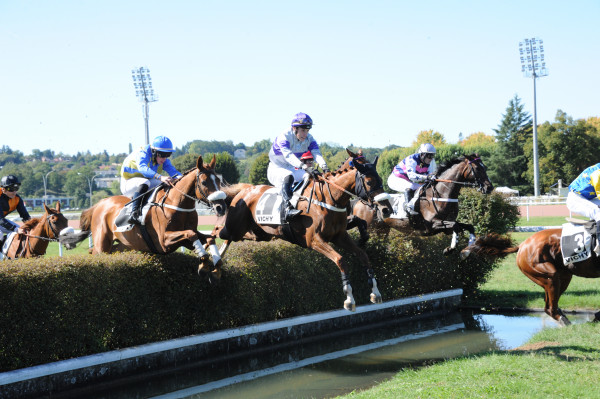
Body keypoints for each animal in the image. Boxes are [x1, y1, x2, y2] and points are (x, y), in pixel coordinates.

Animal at [66, 157, 227, 282]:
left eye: (219, 181)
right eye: (204, 182)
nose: (221, 207)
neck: (176, 204)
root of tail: (99, 204)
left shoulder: (183, 238)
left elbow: (209, 238)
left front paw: (215, 268)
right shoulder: (164, 241)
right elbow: (191, 234)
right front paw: (204, 264)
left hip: (125, 245)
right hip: (102, 244)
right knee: (96, 252)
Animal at [205, 150, 394, 312]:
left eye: (380, 179)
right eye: (369, 182)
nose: (386, 209)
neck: (328, 197)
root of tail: (244, 190)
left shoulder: (339, 236)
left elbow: (363, 254)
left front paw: (375, 292)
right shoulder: (314, 240)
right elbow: (340, 260)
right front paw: (349, 299)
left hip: (259, 234)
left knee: (230, 236)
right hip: (236, 227)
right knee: (218, 231)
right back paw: (210, 261)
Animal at [346, 155, 492, 255]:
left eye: (485, 167)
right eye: (478, 168)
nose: (489, 187)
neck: (441, 194)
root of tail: (360, 201)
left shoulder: (446, 226)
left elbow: (468, 227)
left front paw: (468, 250)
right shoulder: (433, 225)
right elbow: (456, 226)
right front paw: (449, 249)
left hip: (382, 230)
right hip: (371, 227)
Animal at [464, 230, 600, 326]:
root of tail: (522, 245)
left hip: (562, 276)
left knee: (548, 304)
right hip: (546, 273)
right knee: (549, 307)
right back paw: (565, 321)